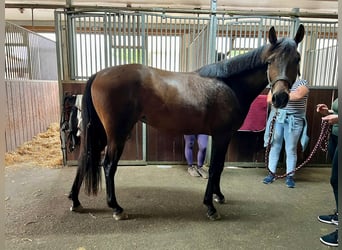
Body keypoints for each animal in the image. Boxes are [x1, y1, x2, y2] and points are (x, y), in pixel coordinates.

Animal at [69, 24, 304, 221]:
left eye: (297, 59)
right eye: (270, 61)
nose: (280, 98)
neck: (228, 85)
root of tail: (99, 74)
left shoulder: (224, 137)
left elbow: (219, 167)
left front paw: (218, 195)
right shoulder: (221, 136)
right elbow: (214, 168)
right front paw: (210, 206)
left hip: (100, 133)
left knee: (86, 157)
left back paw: (75, 200)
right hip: (116, 135)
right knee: (108, 166)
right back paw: (116, 208)